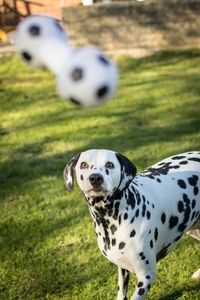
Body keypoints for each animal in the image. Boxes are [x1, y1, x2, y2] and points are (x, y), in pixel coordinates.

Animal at [63, 150, 199, 300]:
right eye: (84, 164)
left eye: (109, 164)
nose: (95, 178)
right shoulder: (122, 268)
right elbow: (121, 292)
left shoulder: (146, 276)